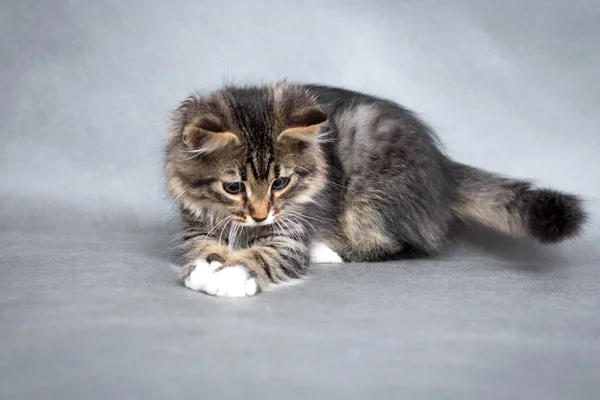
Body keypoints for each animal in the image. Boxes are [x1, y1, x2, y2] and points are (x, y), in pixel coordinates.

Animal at [163, 81, 584, 296]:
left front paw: (231, 275)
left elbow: (266, 255)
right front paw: (205, 269)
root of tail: (443, 169)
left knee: (402, 244)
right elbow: (202, 249)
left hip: (371, 190)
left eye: (281, 182)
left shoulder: (291, 229)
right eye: (234, 186)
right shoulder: (195, 225)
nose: (261, 214)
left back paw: (327, 250)